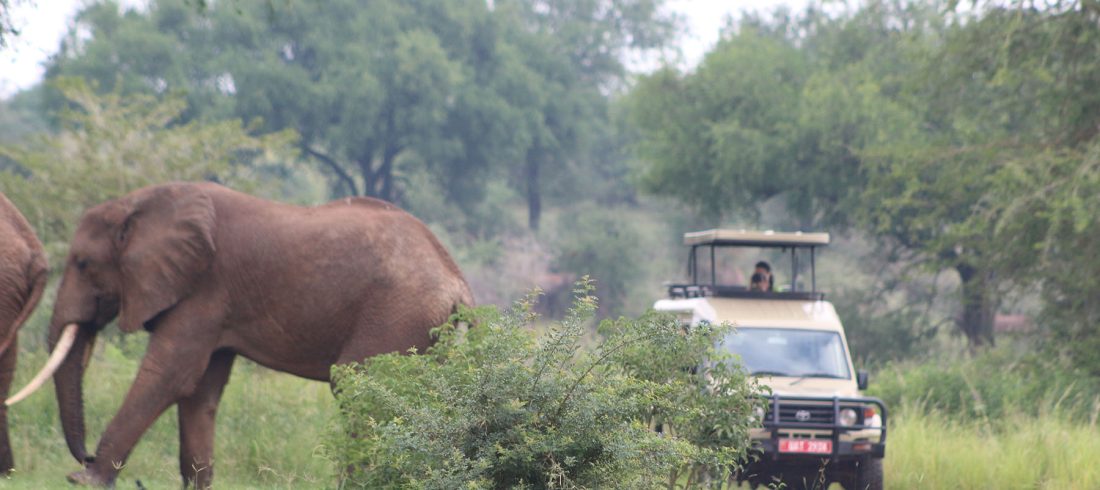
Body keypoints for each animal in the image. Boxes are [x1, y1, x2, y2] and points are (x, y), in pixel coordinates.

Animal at [16, 181, 473, 486]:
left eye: (82, 264)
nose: (85, 454)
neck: (138, 203)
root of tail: (459, 283)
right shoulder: (215, 305)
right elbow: (200, 391)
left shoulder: (204, 290)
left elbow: (170, 376)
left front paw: (84, 481)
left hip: (397, 314)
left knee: (356, 387)